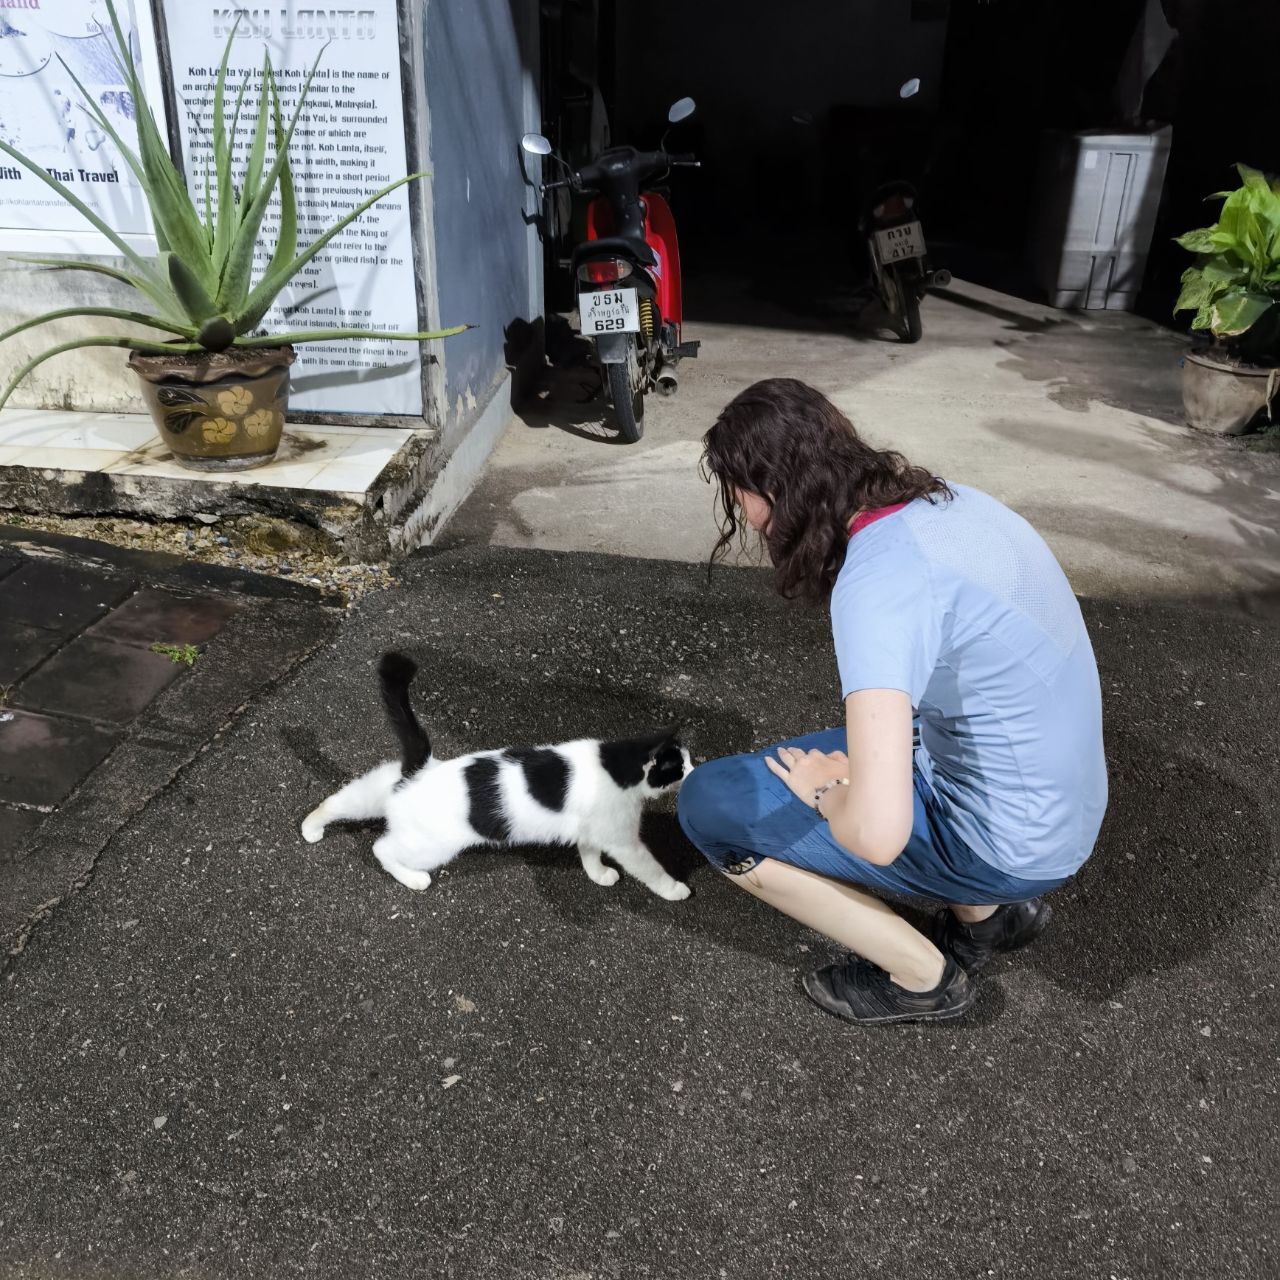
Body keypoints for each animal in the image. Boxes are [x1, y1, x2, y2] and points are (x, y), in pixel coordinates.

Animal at [300, 650, 696, 901]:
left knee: (339, 801)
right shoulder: (623, 839)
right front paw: (675, 889)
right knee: (381, 848)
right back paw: (413, 879)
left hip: (380, 789)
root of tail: (422, 769)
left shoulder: (594, 827)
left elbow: (588, 851)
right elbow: (650, 867)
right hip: (432, 844)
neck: (614, 763)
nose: (696, 772)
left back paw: (312, 827)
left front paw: (597, 873)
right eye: (679, 767)